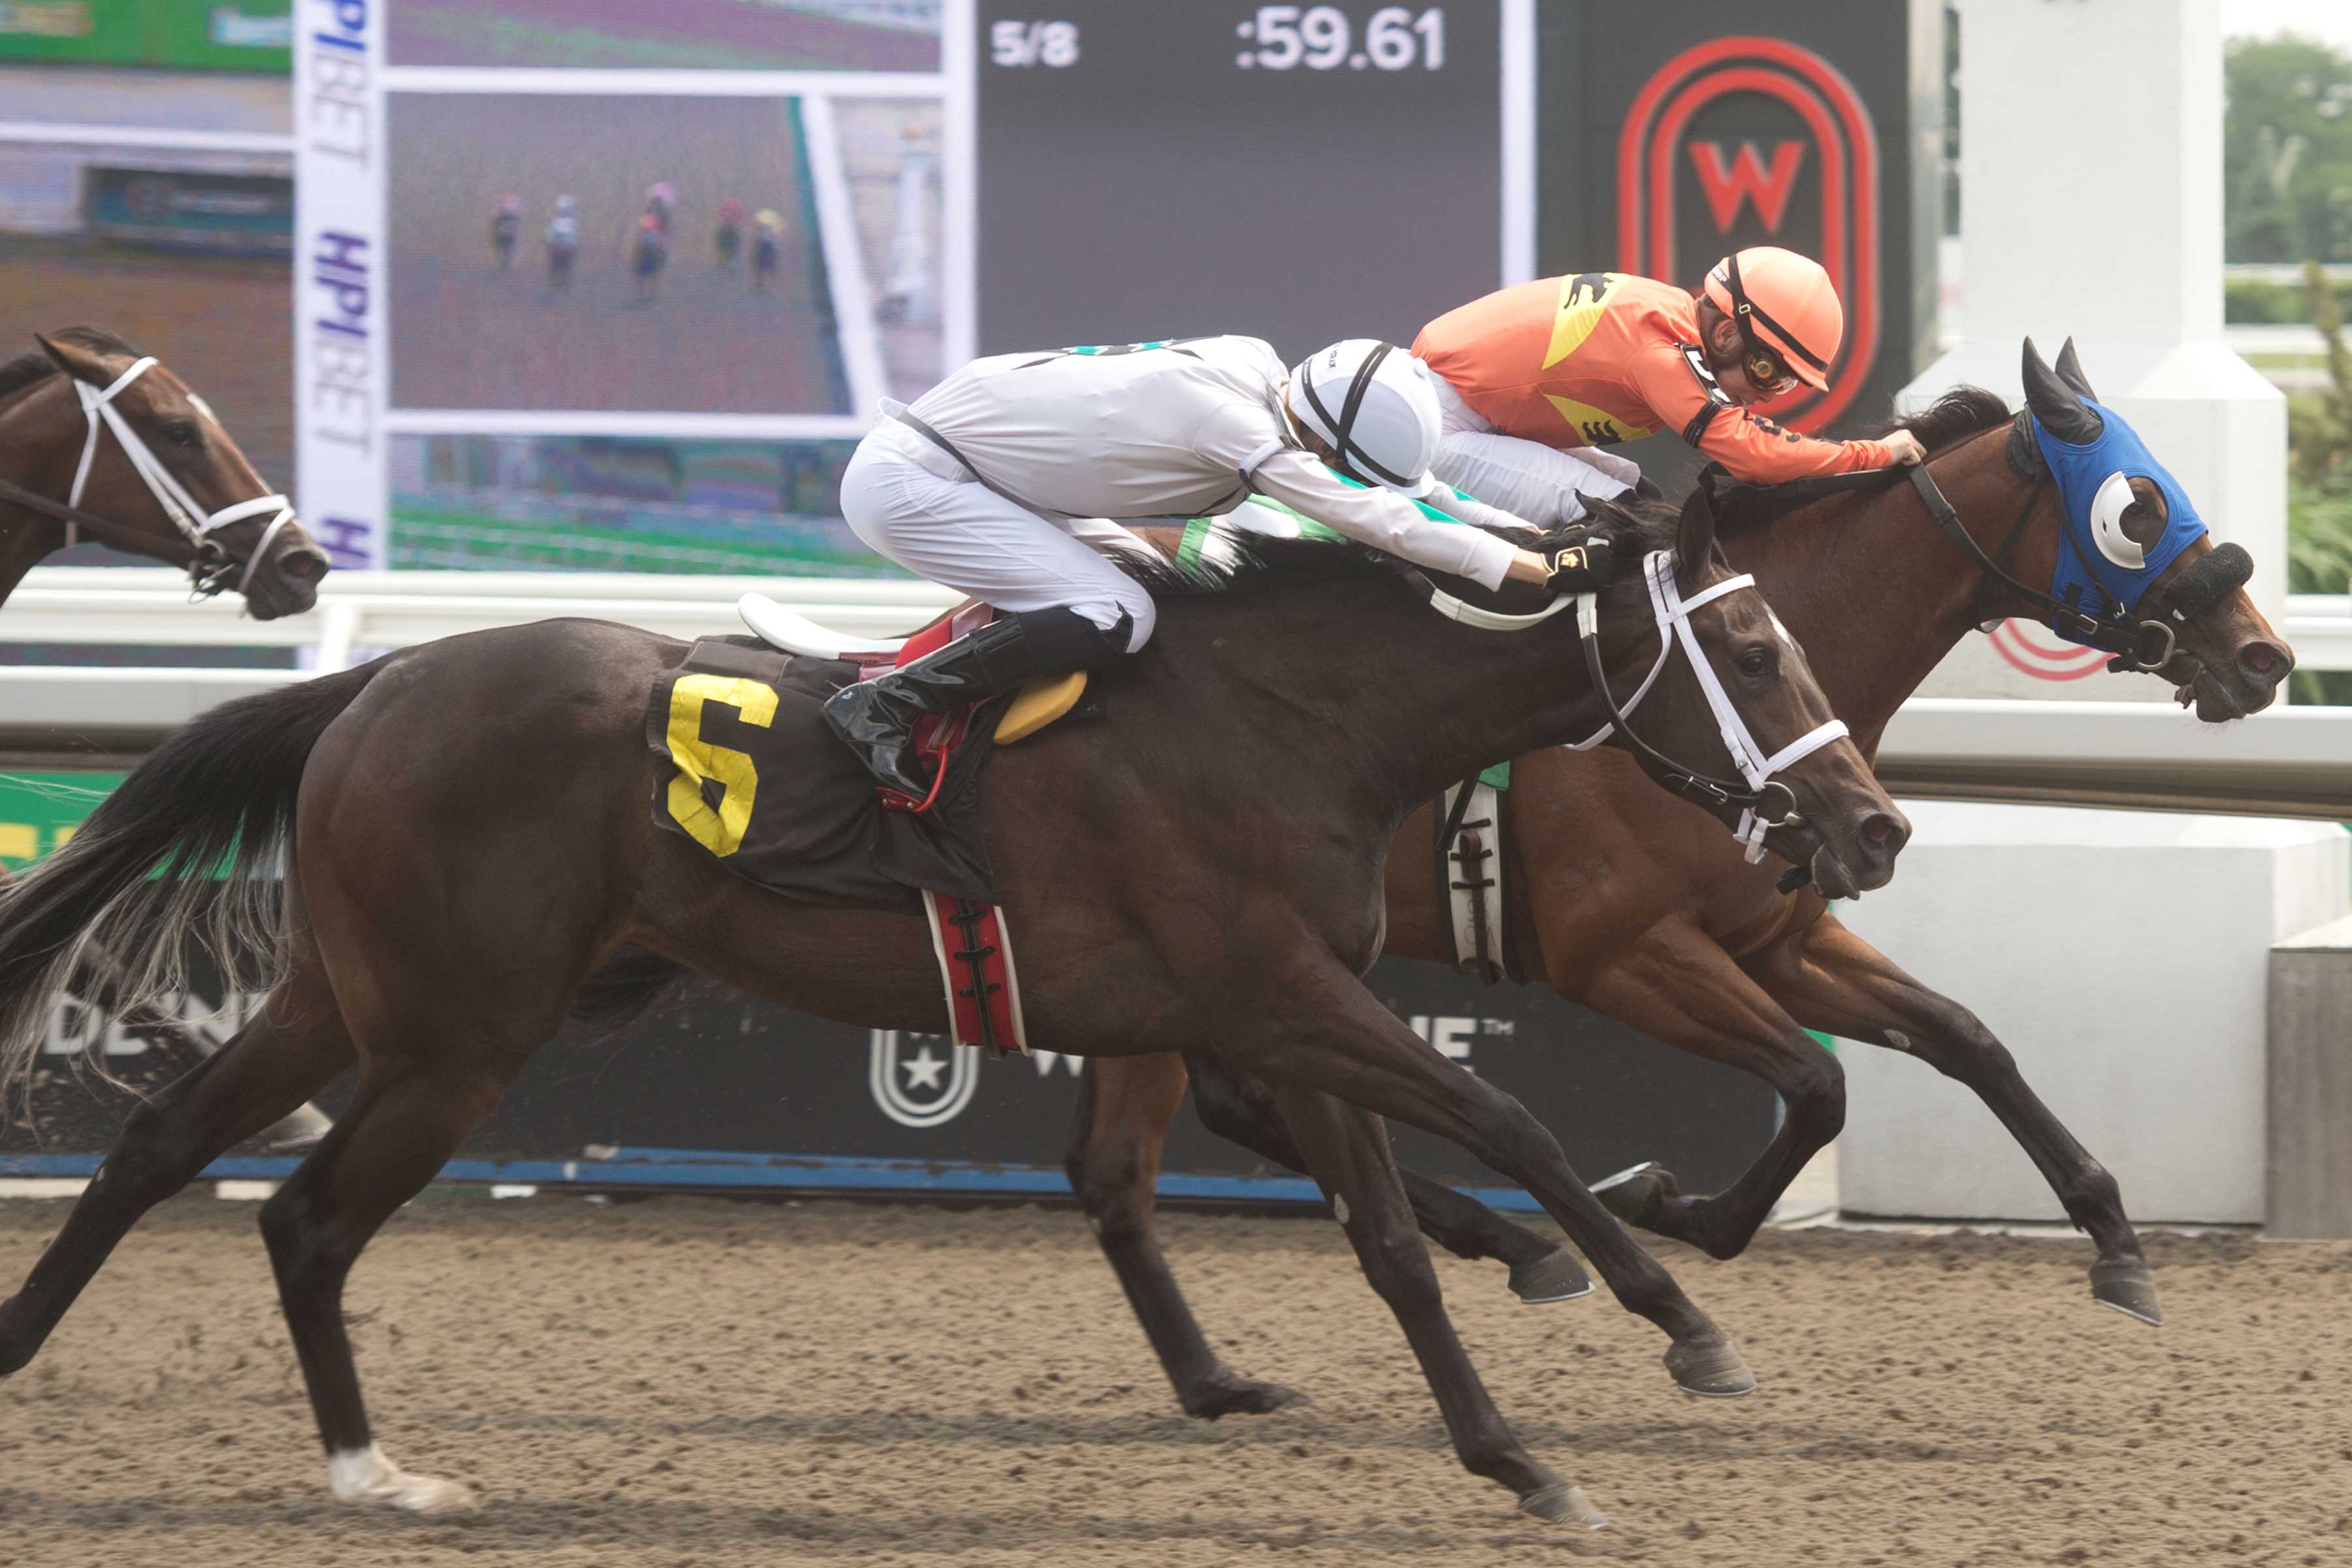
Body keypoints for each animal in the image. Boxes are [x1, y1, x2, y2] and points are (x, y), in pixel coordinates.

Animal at [0, 493, 1910, 1523]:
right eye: (1751, 650)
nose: (1871, 824)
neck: (1298, 720)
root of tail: (381, 680)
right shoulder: (1278, 990)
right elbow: (1514, 1121)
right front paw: (1677, 1313)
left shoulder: (1287, 1002)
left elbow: (1383, 1234)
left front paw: (1516, 1456)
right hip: (456, 1036)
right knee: (310, 1222)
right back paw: (373, 1473)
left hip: (355, 998)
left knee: (166, 1143)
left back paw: (29, 1351)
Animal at [1068, 343, 2295, 1420]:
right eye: (2137, 510)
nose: (2265, 657)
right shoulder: (1620, 952)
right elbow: (1816, 1085)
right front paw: (1673, 1210)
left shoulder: (1778, 938)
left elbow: (1965, 1038)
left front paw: (2118, 1245)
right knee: (1172, 1137)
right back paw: (1495, 1252)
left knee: (1148, 1147)